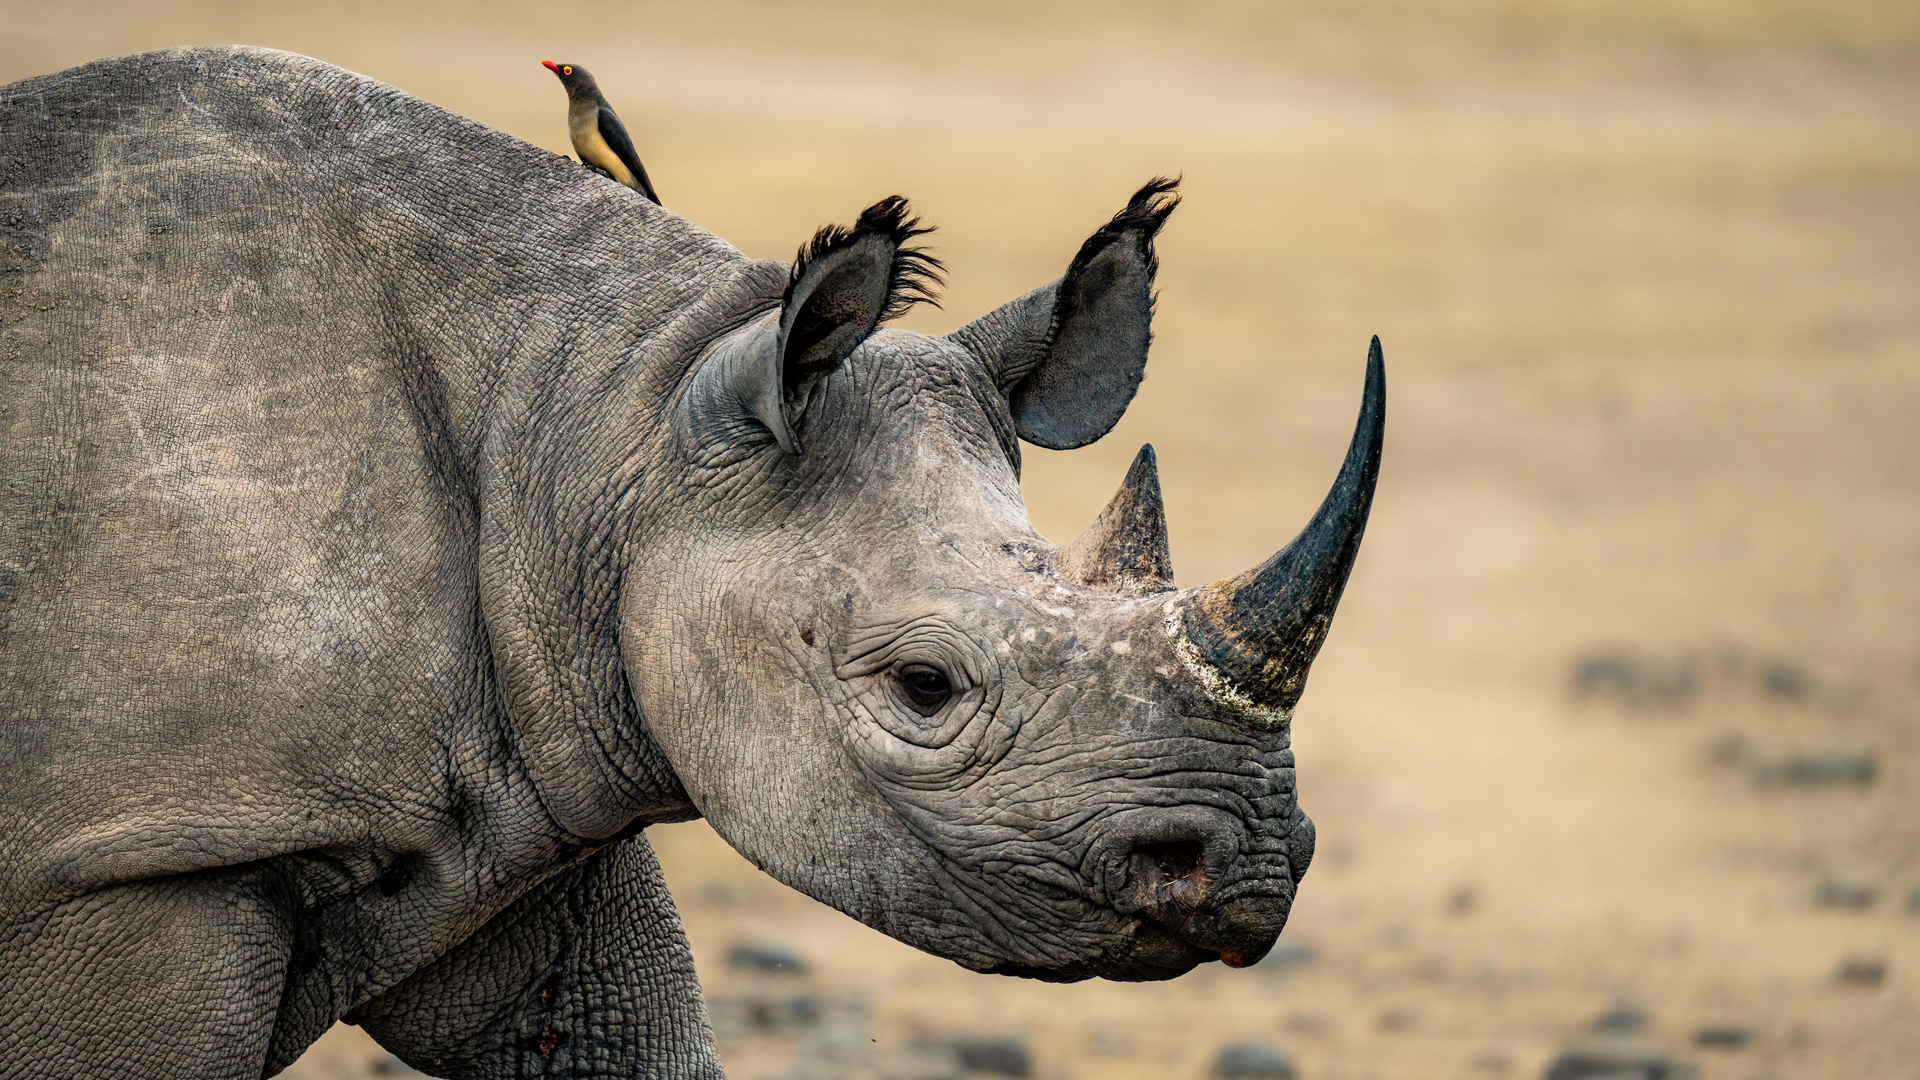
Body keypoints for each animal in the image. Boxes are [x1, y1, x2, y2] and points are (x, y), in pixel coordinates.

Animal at [0, 46, 1382, 1076]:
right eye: (923, 688)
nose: (1254, 868)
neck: (612, 423)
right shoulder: (137, 856)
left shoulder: (530, 764)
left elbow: (630, 1029)